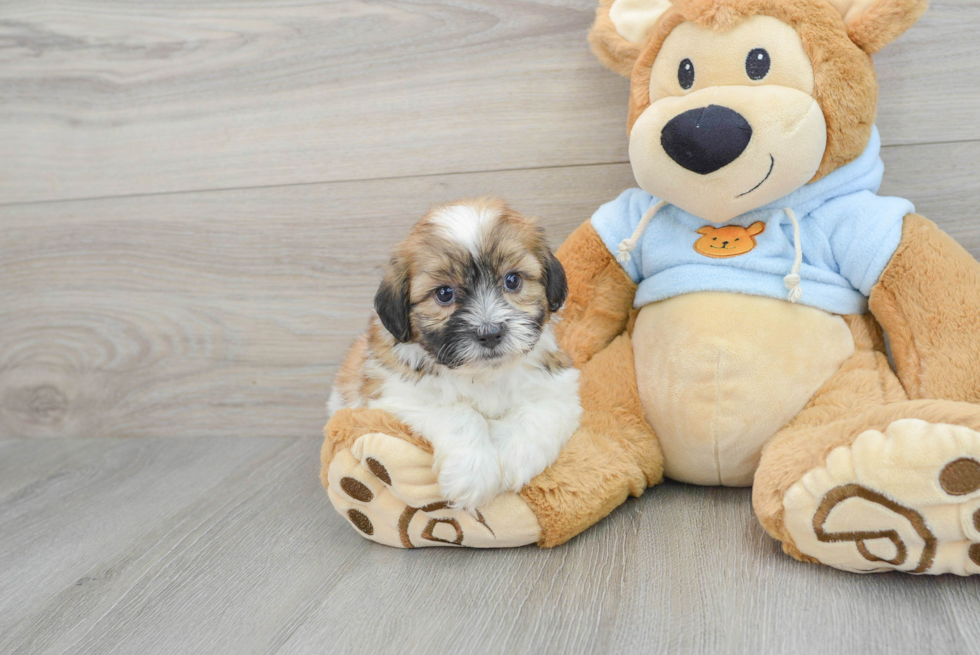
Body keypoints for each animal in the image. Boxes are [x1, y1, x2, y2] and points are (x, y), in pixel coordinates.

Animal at [330, 200, 580, 512]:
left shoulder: (559, 385)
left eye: (512, 280)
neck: (482, 375)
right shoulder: (396, 395)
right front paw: (473, 473)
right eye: (444, 293)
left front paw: (513, 455)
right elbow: (458, 413)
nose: (490, 333)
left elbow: (540, 413)